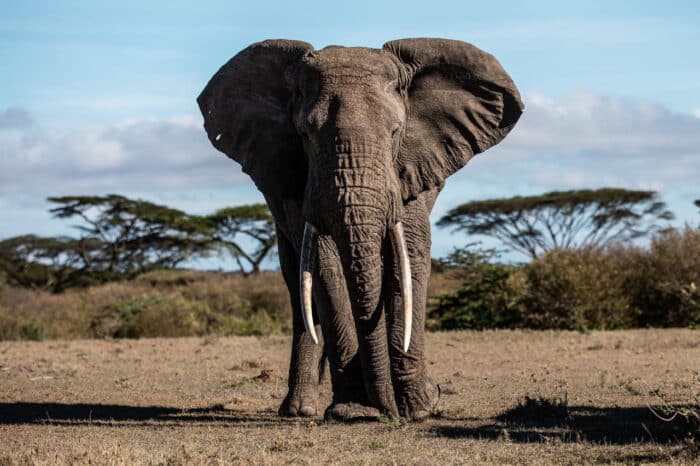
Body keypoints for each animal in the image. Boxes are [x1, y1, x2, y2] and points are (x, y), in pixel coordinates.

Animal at [197, 38, 520, 420]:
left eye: (396, 133)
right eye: (304, 134)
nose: (388, 411)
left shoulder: (413, 167)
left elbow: (409, 255)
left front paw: (418, 408)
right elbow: (325, 266)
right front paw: (354, 411)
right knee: (298, 284)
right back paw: (300, 410)